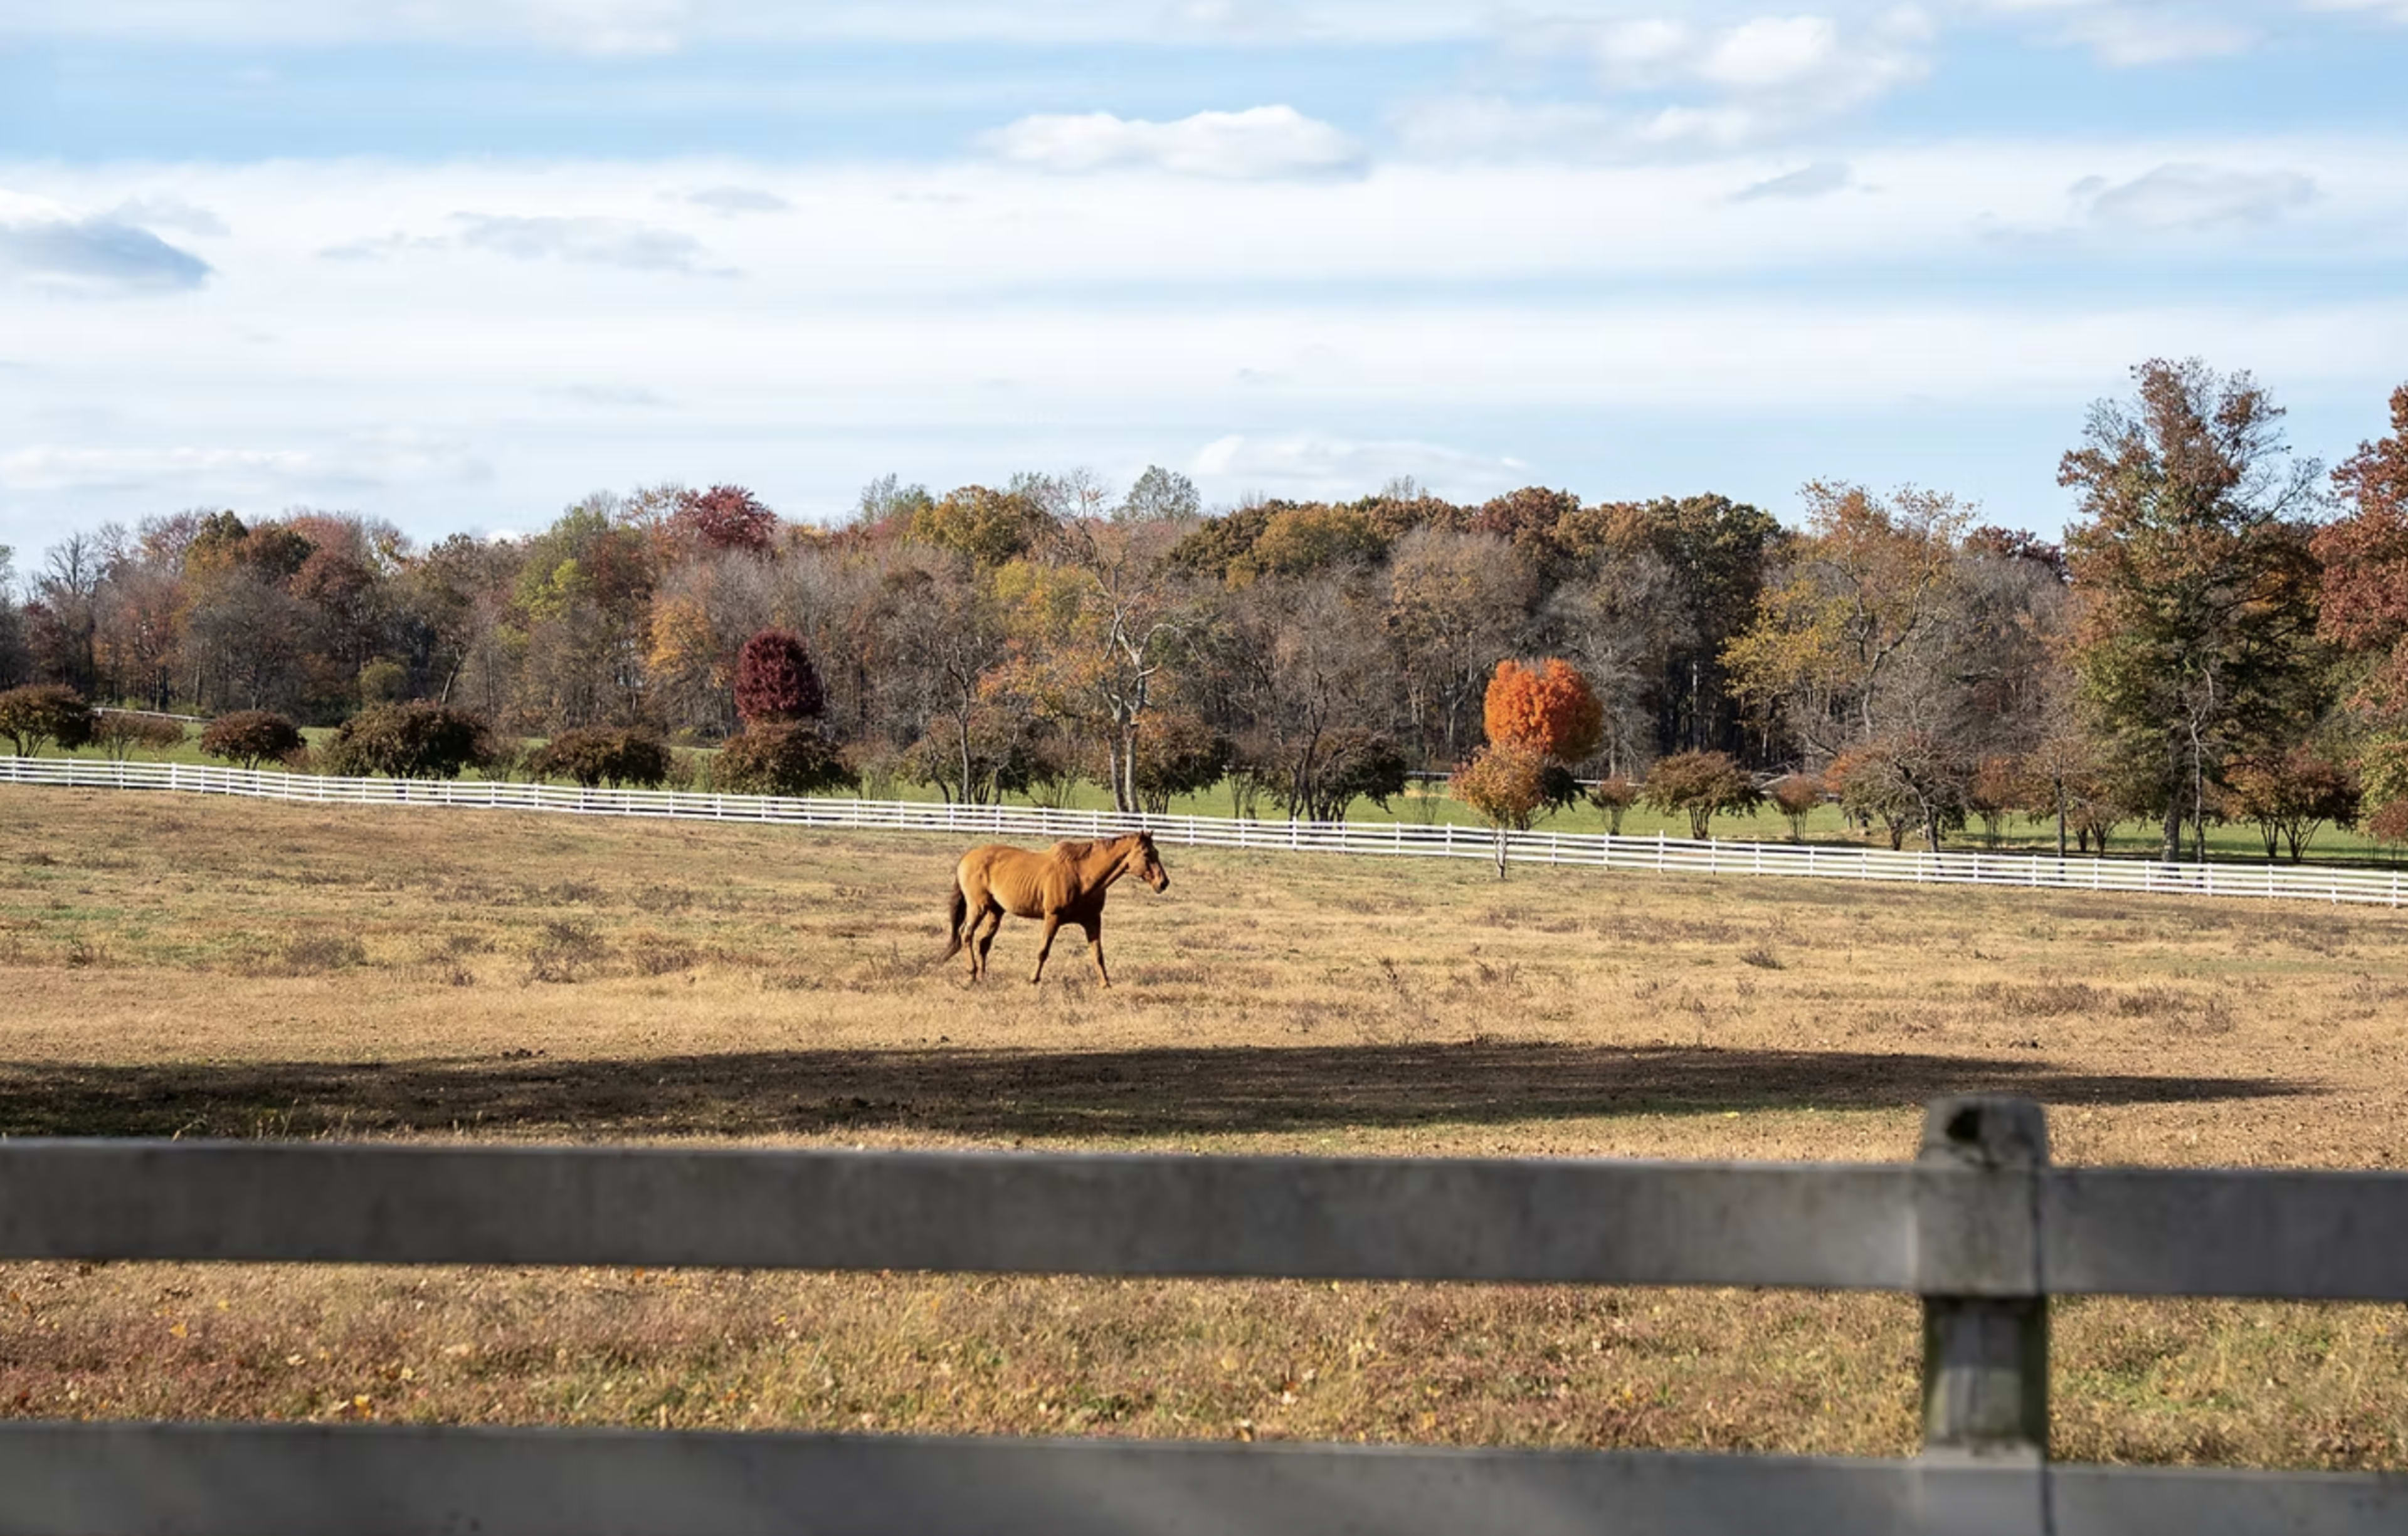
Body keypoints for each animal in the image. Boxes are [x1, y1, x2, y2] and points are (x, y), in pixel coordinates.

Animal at [943, 831, 1169, 986]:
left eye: (1156, 852)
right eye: (1147, 854)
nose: (1164, 883)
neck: (1081, 874)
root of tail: (967, 857)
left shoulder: (1092, 920)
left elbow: (1097, 954)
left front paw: (1106, 984)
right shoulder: (1052, 917)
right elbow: (1043, 951)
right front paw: (1034, 980)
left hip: (995, 912)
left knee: (983, 943)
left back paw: (983, 977)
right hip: (978, 907)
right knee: (966, 934)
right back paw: (971, 973)